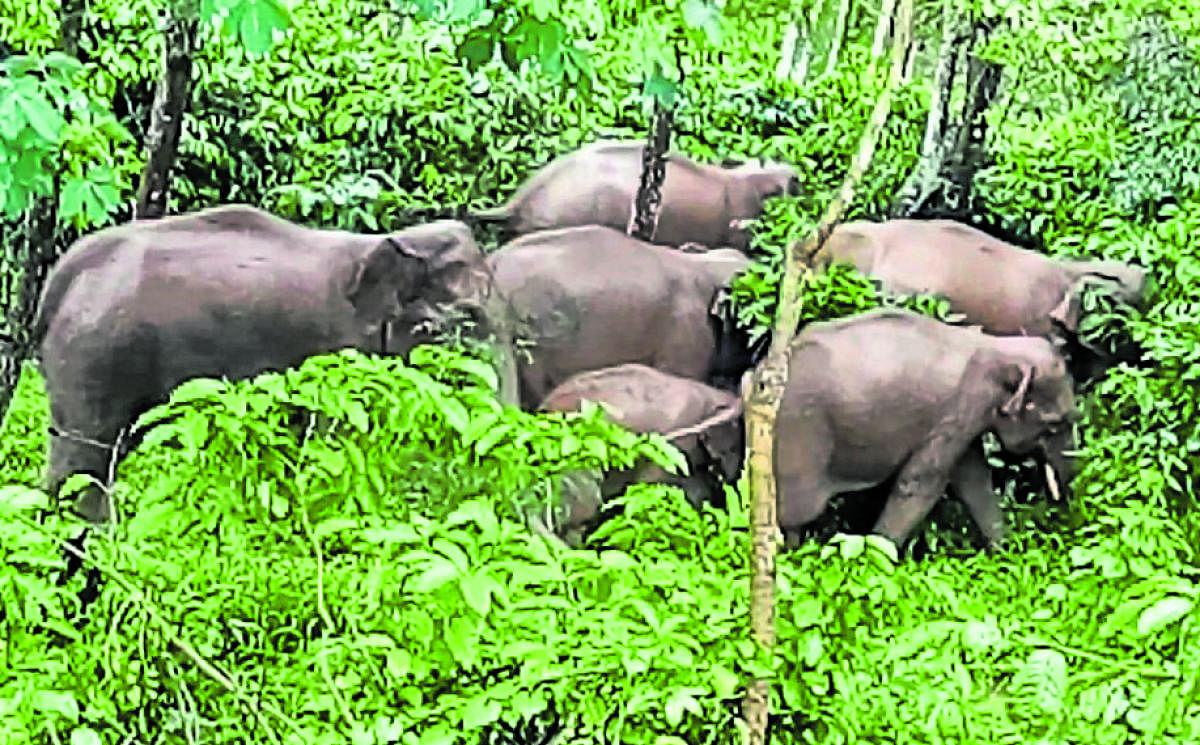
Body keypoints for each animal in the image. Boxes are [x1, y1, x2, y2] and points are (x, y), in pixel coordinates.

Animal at [36, 200, 516, 520]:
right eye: (468, 318)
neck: (385, 244)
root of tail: (60, 276)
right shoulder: (335, 355)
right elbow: (329, 454)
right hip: (94, 357)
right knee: (83, 466)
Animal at [772, 304, 1084, 549]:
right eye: (1054, 424)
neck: (997, 347)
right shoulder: (956, 409)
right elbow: (921, 482)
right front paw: (878, 556)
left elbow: (973, 478)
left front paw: (1005, 554)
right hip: (800, 431)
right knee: (794, 515)